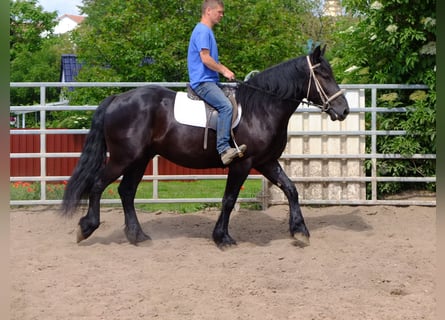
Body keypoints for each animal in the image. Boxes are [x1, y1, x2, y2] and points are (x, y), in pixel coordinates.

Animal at [60, 46, 348, 248]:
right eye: (323, 74)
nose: (344, 109)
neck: (261, 108)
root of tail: (117, 98)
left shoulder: (266, 162)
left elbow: (291, 190)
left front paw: (300, 231)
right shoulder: (243, 163)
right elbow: (229, 199)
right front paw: (223, 238)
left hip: (140, 159)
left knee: (126, 191)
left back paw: (137, 235)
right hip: (123, 157)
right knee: (98, 184)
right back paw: (87, 227)